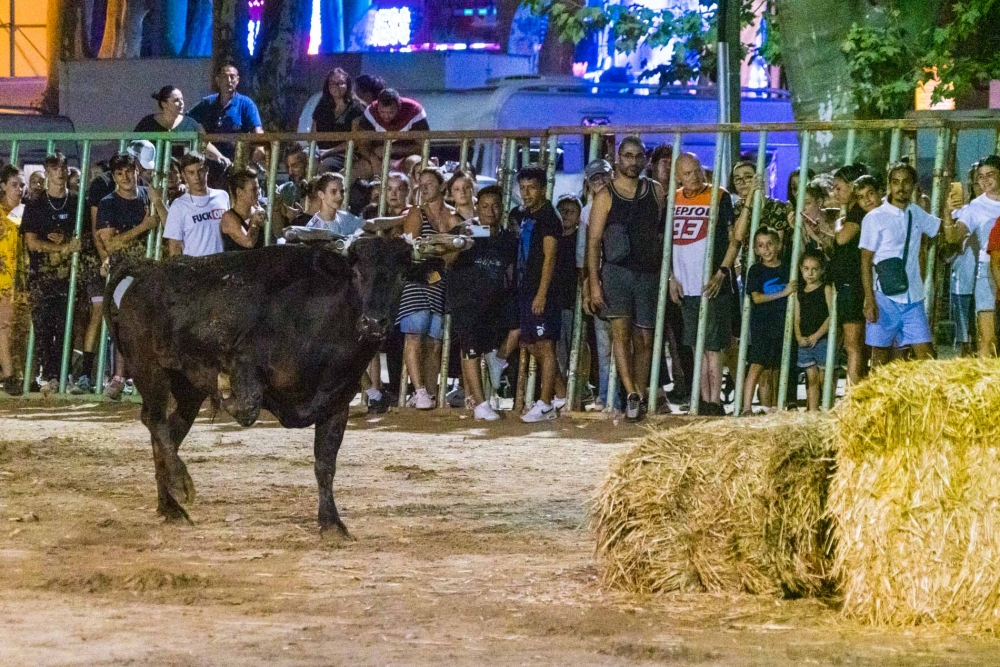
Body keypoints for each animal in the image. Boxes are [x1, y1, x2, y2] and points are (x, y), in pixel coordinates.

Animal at [104, 237, 446, 536]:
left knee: (166, 434)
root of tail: (149, 271)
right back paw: (180, 486)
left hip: (187, 390)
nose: (373, 322)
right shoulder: (244, 361)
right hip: (150, 371)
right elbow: (247, 407)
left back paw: (170, 507)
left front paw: (332, 523)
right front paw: (225, 391)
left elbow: (325, 464)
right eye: (358, 273)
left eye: (402, 275)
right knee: (153, 420)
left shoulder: (337, 402)